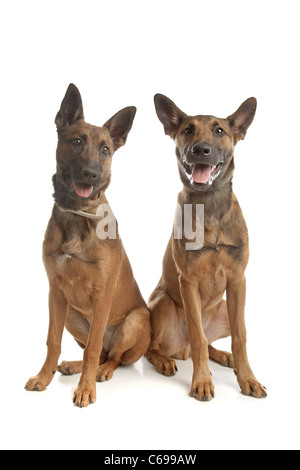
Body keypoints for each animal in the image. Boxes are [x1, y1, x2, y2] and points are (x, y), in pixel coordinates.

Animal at [25, 84, 151, 408]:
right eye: (77, 141)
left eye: (105, 149)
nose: (91, 174)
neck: (77, 214)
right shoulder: (56, 293)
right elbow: (52, 341)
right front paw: (44, 377)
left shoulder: (102, 295)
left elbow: (94, 347)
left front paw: (85, 389)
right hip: (71, 312)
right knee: (96, 351)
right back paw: (75, 365)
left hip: (136, 319)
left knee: (112, 355)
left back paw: (101, 371)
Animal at [146, 94, 266, 400]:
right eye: (187, 130)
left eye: (219, 131)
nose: (201, 150)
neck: (208, 205)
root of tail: (181, 350)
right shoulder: (187, 281)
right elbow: (198, 336)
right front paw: (201, 381)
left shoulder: (237, 280)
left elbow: (240, 335)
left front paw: (247, 378)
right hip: (163, 303)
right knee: (156, 347)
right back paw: (165, 360)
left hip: (224, 307)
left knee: (212, 342)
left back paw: (224, 356)